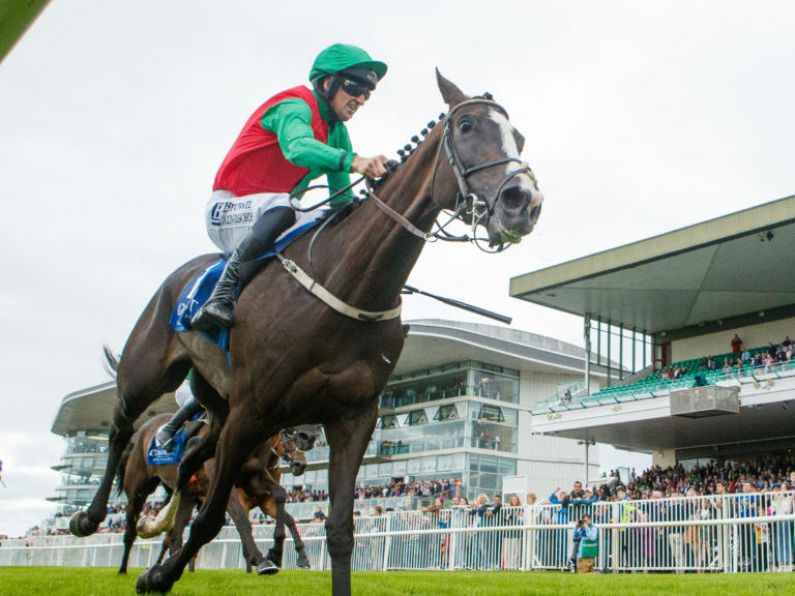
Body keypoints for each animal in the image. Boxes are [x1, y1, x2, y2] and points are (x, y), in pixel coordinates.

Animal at [70, 71, 540, 596]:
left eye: (518, 137)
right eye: (465, 126)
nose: (524, 202)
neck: (348, 281)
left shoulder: (353, 417)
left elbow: (339, 530)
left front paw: (167, 569)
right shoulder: (253, 411)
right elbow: (213, 519)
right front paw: (169, 572)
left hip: (217, 404)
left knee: (190, 456)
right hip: (150, 372)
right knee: (120, 429)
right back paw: (91, 518)